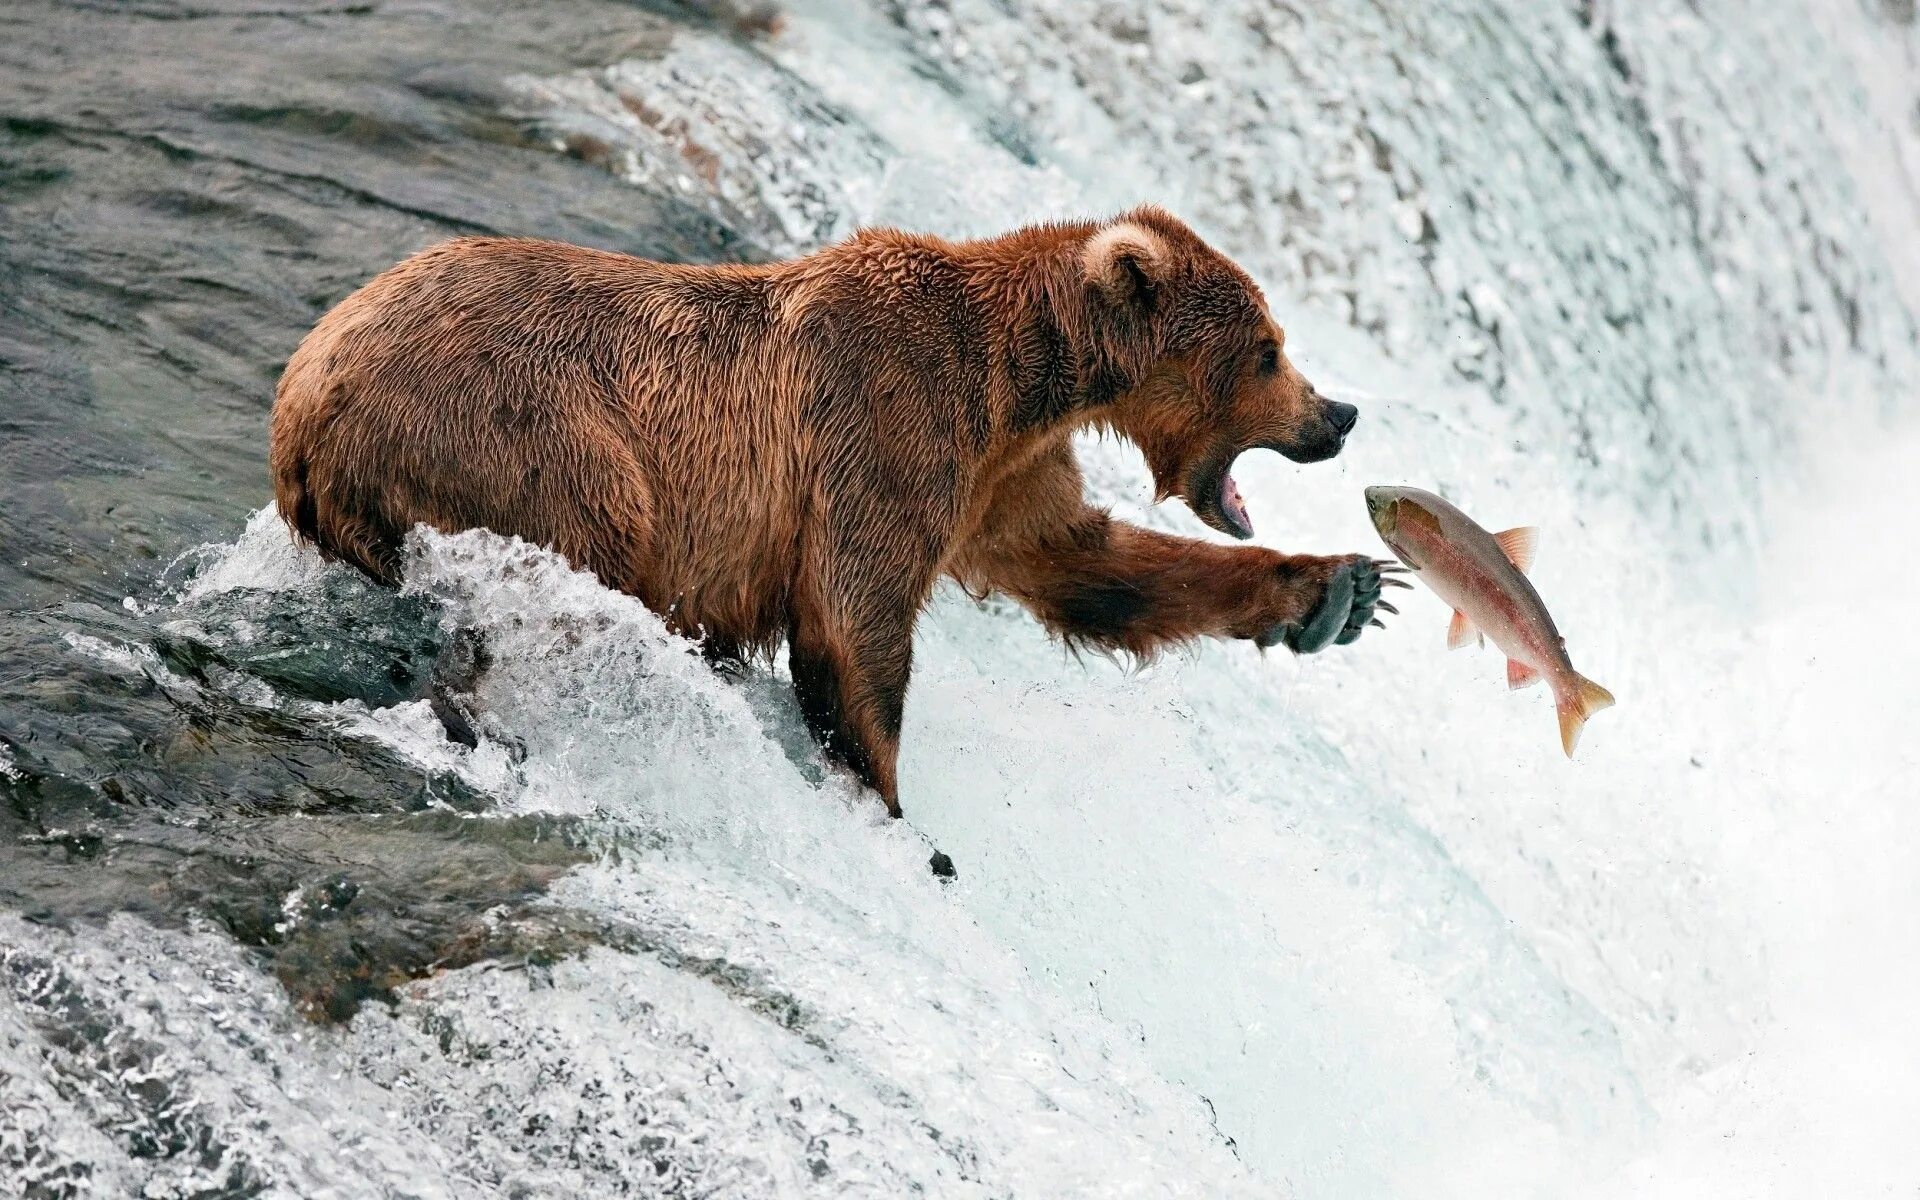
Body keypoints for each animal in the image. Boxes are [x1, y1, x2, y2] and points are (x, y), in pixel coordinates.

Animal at [270, 210, 1405, 817]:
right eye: (1268, 350)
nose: (1340, 414)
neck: (1025, 379)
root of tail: (306, 392)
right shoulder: (887, 426)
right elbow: (856, 626)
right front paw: (889, 802)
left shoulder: (1002, 479)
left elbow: (1089, 567)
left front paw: (1339, 591)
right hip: (533, 437)